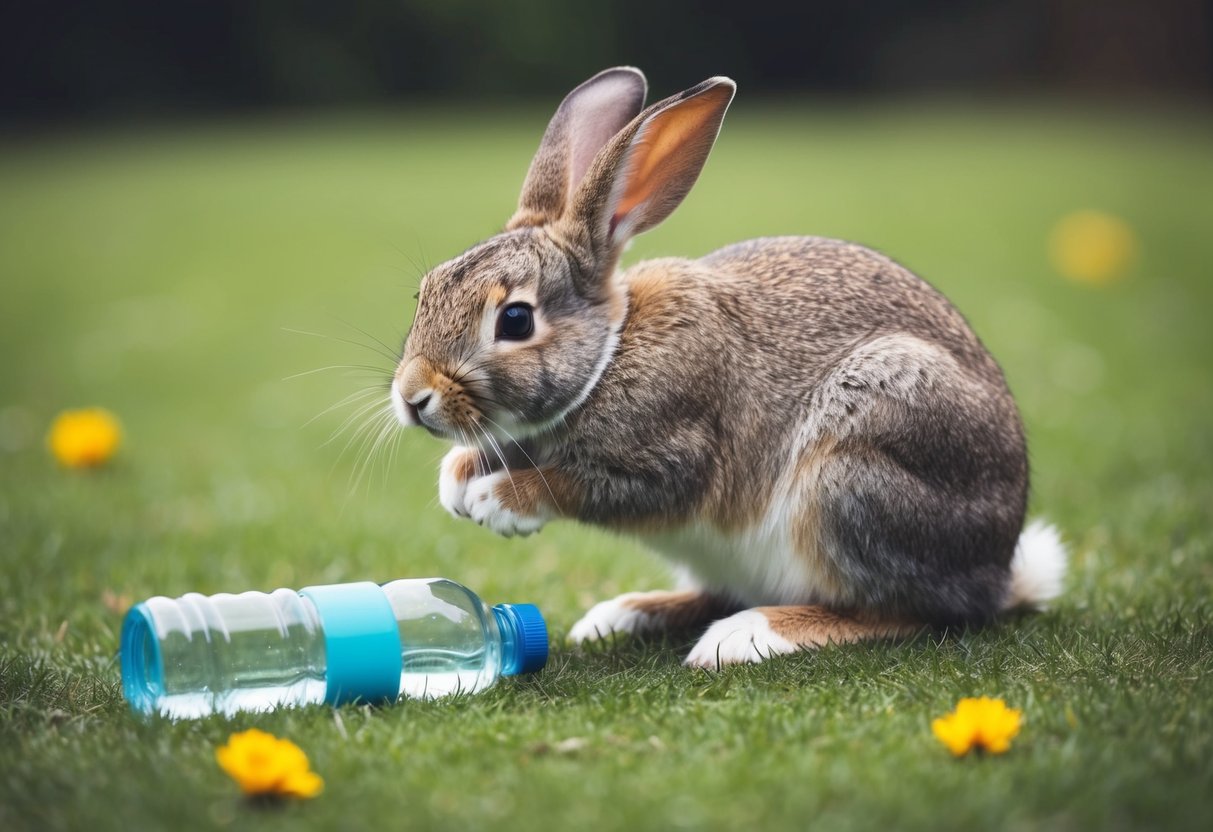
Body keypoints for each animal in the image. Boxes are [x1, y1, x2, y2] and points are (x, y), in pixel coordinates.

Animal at [390, 67, 1067, 668]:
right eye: (426, 290)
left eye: (515, 321)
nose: (413, 397)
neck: (609, 354)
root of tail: (994, 572)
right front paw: (458, 478)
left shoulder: (676, 453)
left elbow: (588, 486)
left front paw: (496, 499)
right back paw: (628, 613)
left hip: (858, 472)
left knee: (906, 612)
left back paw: (746, 636)